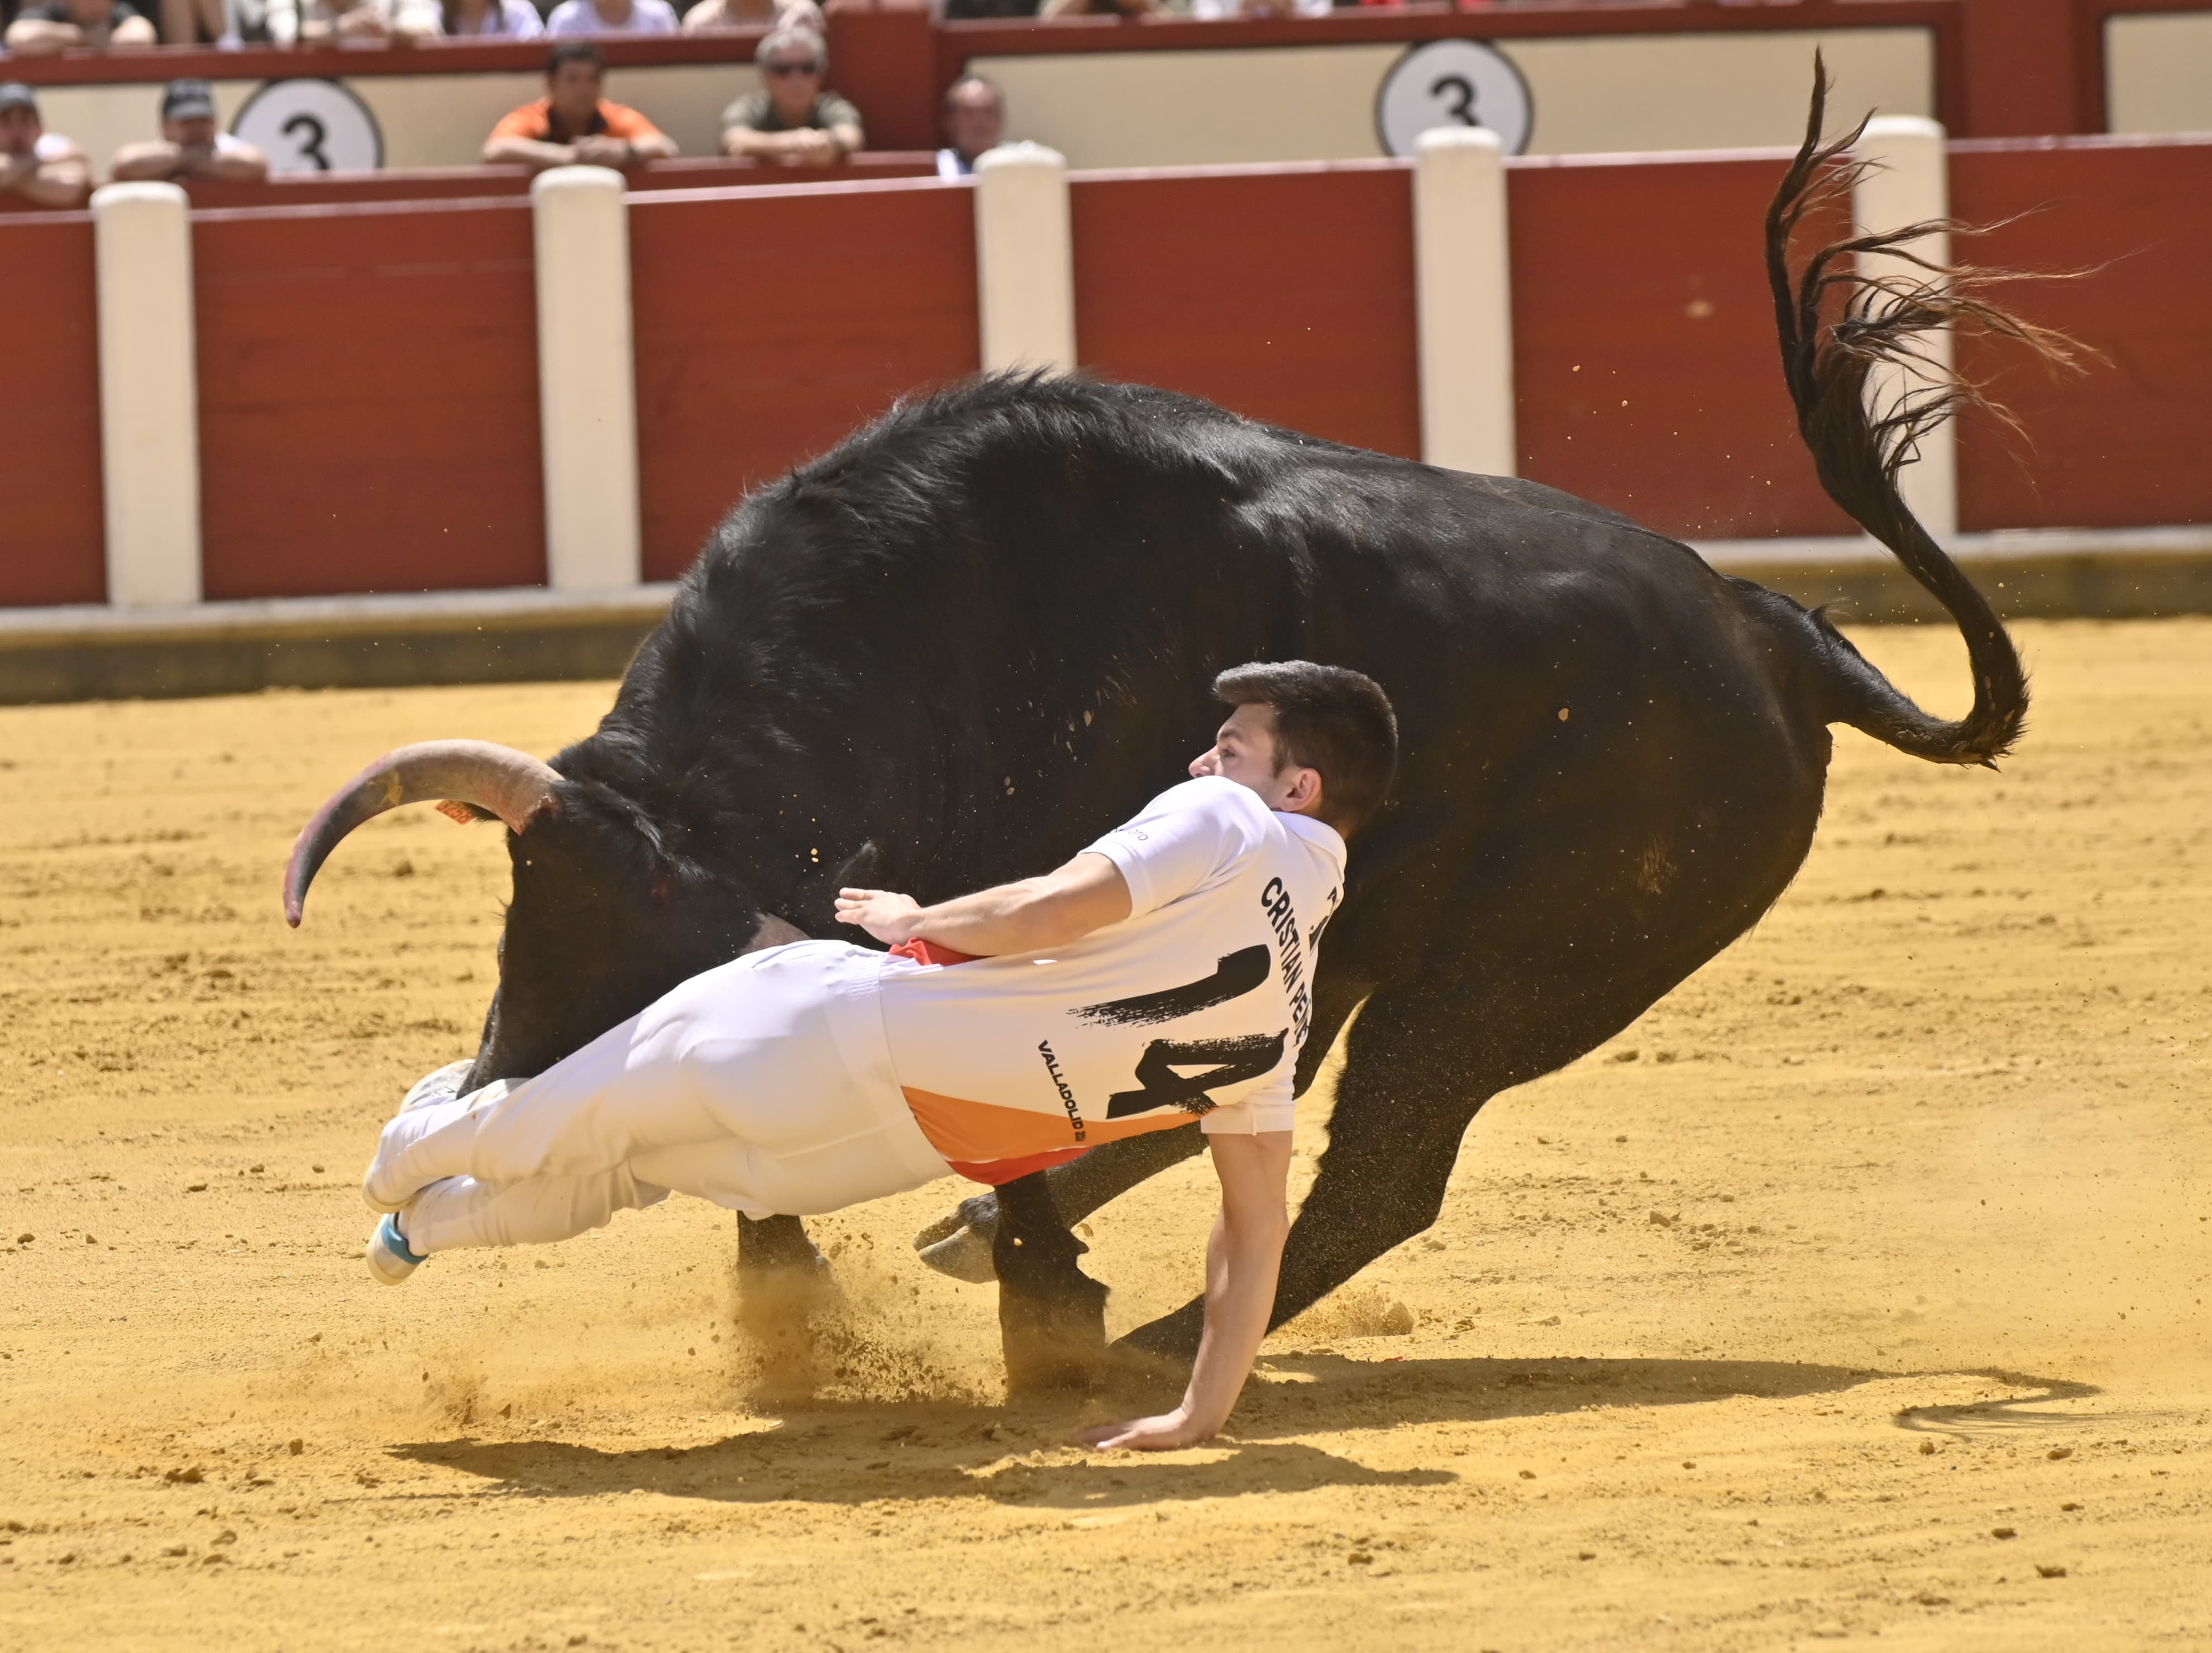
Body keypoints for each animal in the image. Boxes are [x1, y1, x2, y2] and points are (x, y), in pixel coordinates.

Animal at [289, 84, 2035, 1389]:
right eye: (519, 934)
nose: (499, 1100)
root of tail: (1769, 632)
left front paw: (1012, 1296)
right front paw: (812, 1304)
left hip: (1520, 965)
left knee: (1380, 1158)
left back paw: (1130, 1349)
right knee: (1285, 1093)